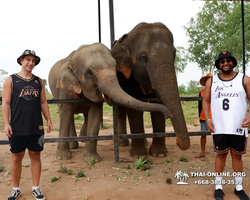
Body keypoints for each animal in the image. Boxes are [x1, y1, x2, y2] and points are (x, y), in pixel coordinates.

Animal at [110, 22, 190, 158]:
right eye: (144, 57)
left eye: (174, 54)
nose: (178, 142)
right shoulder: (128, 77)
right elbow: (135, 108)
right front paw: (139, 156)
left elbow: (158, 105)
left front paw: (159, 154)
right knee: (121, 110)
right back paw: (122, 144)